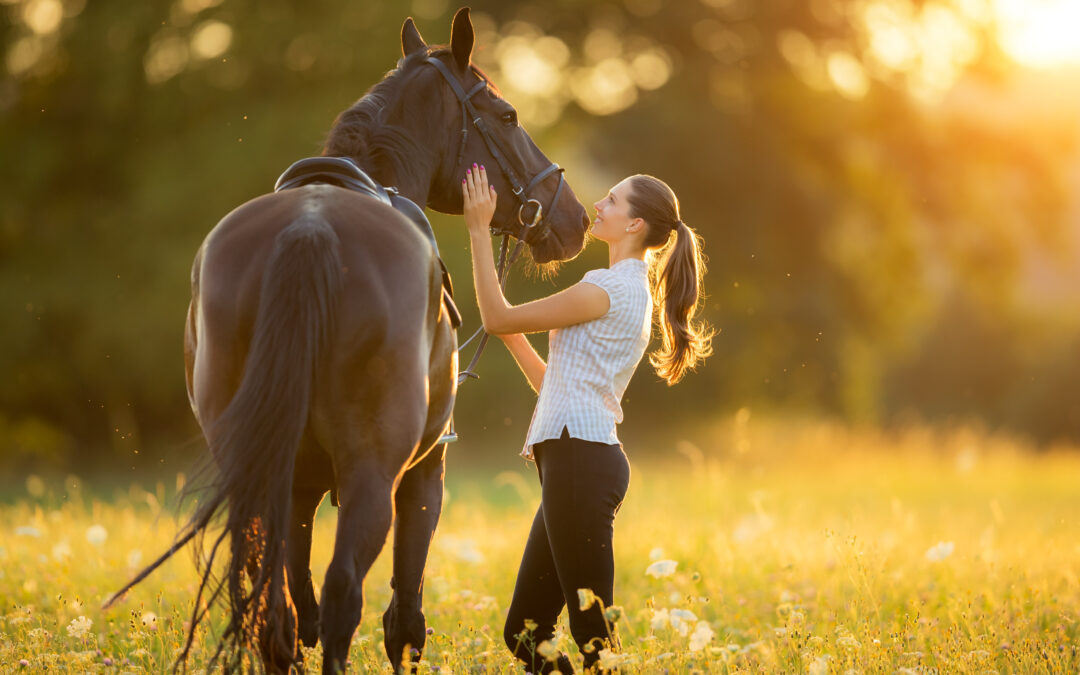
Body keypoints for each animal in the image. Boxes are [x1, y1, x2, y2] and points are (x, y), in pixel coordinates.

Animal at [106, 8, 589, 674]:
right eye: (509, 115)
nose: (576, 219)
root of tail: (309, 230)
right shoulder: (425, 473)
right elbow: (403, 620)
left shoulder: (299, 488)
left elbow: (292, 598)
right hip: (372, 477)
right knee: (342, 598)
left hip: (257, 473)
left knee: (275, 614)